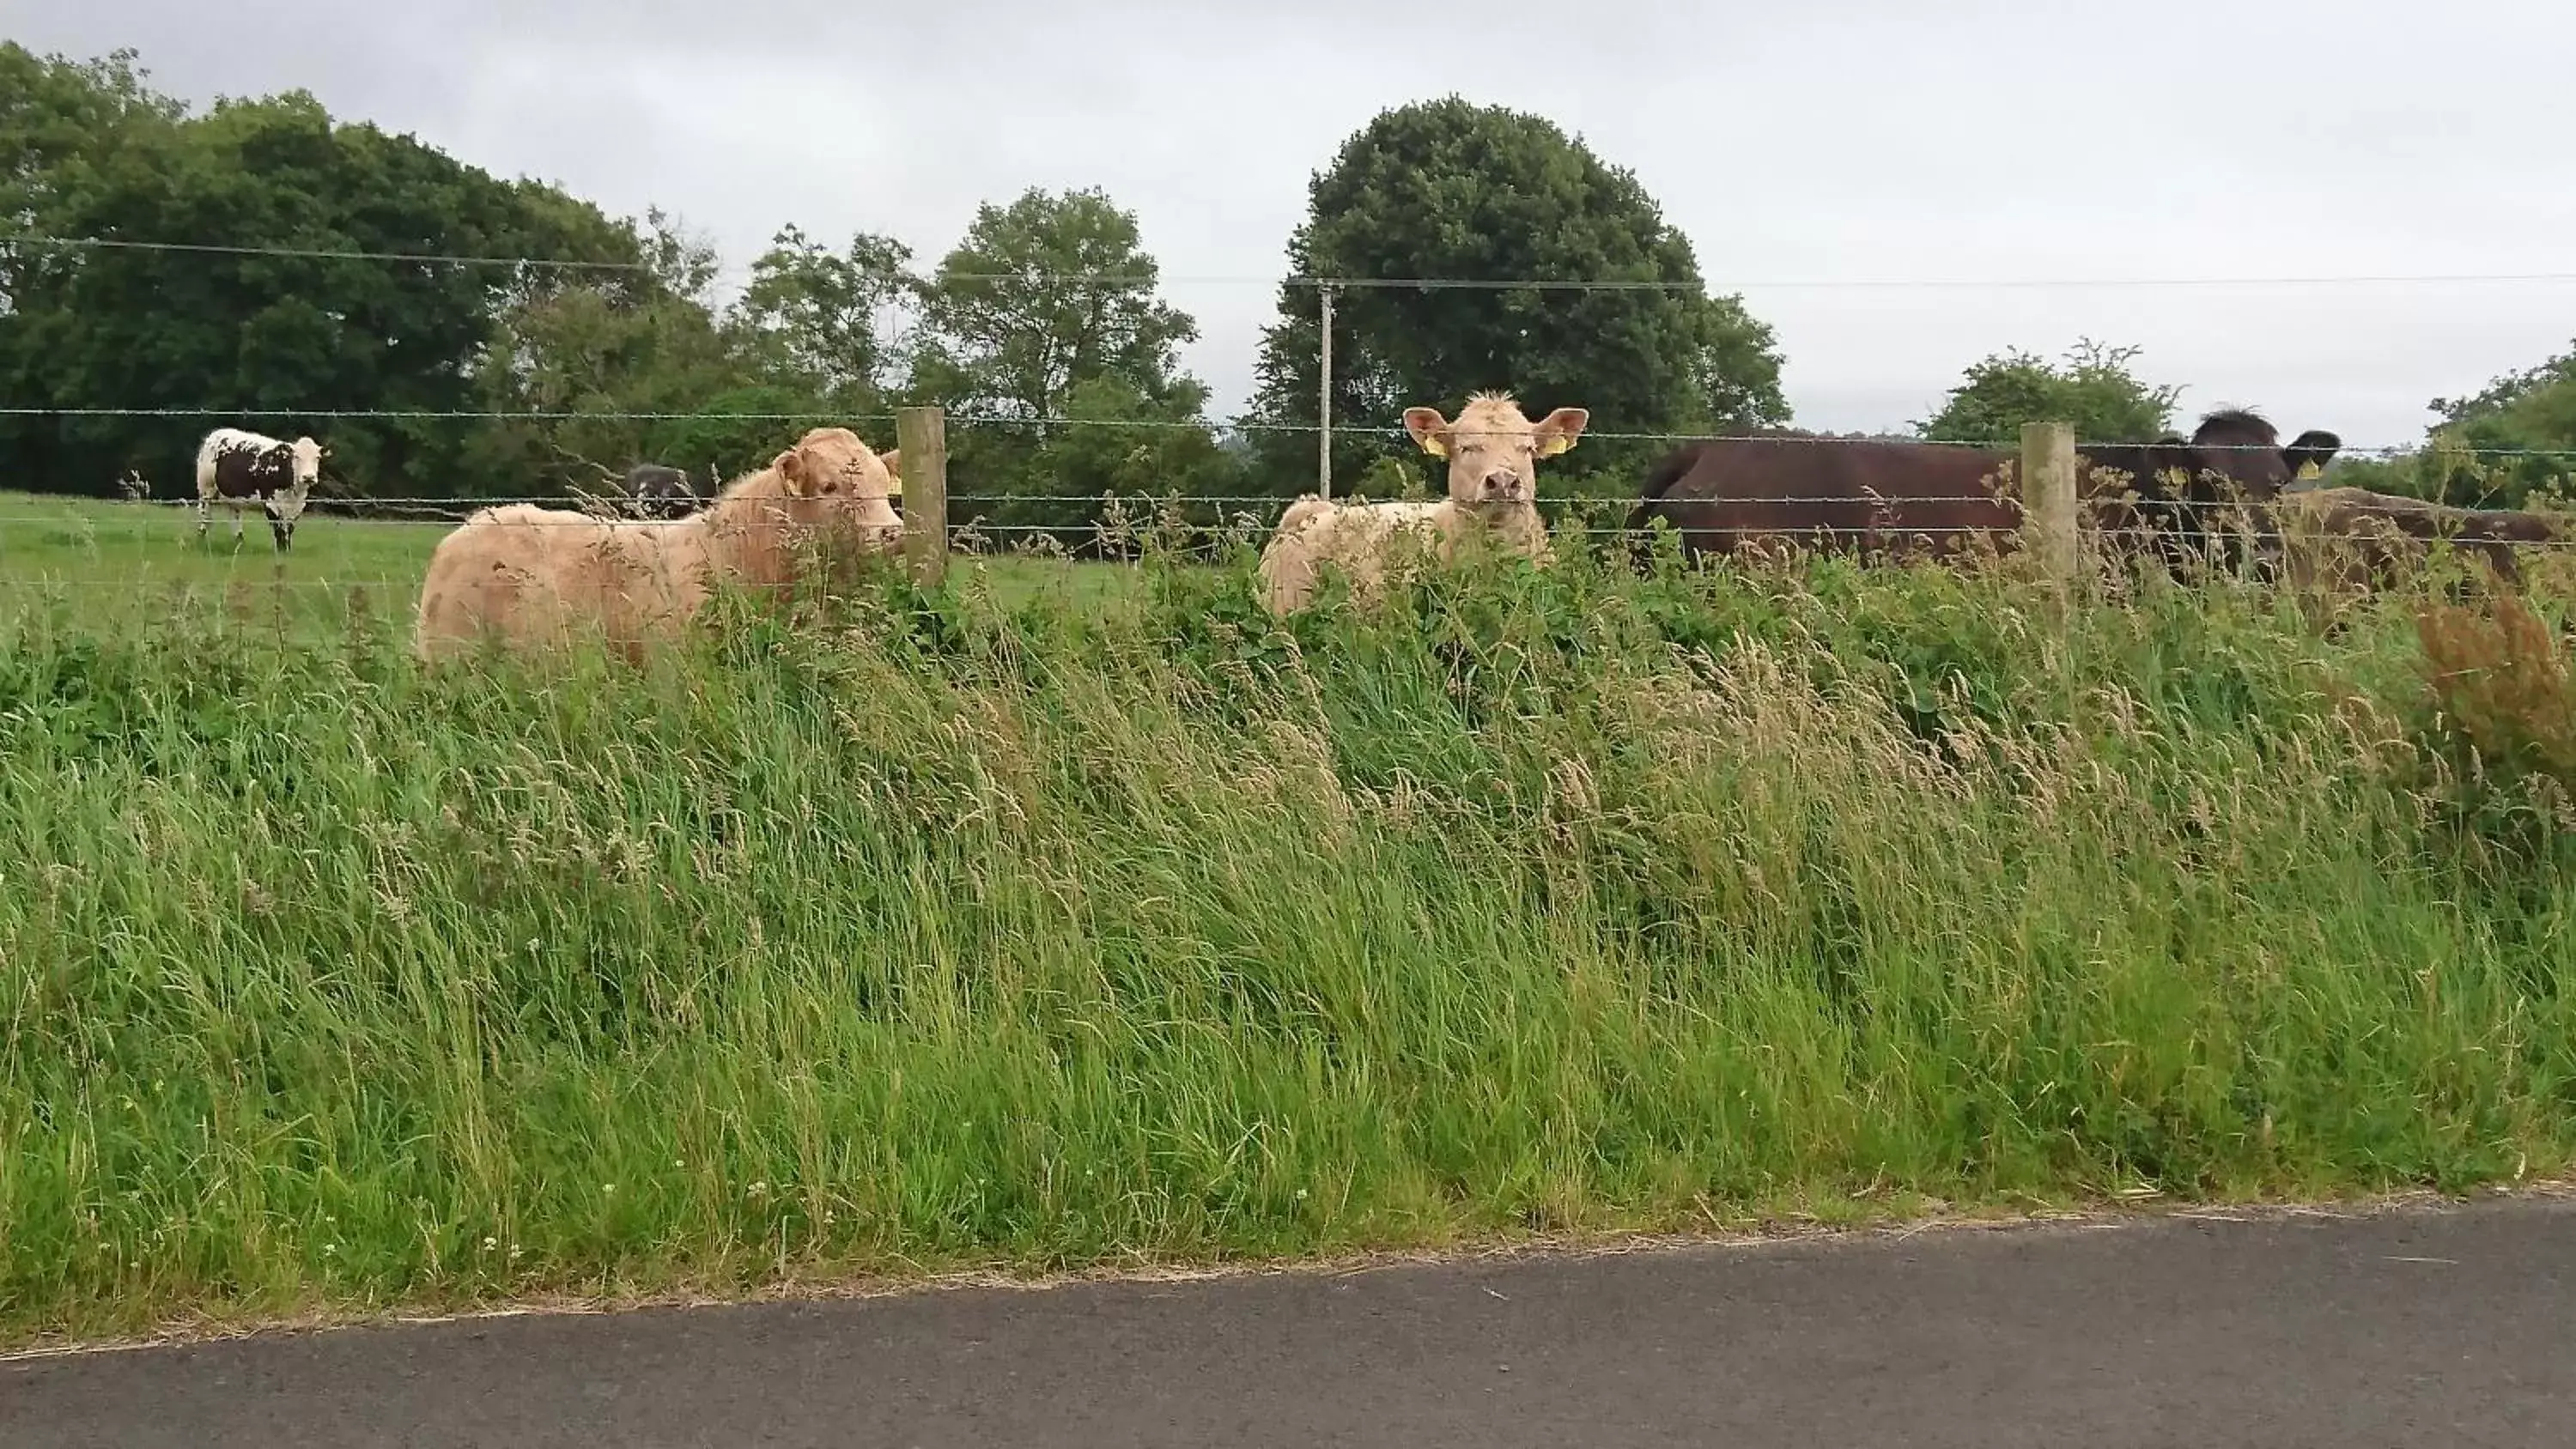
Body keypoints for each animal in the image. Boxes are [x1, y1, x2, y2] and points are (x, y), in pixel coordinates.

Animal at [196, 427, 325, 553]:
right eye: (296, 457)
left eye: (317, 457)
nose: (309, 477)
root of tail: (216, 433)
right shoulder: (270, 502)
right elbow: (277, 527)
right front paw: (281, 551)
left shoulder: (298, 505)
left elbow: (289, 527)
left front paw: (287, 550)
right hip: (206, 488)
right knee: (205, 513)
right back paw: (202, 538)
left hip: (233, 495)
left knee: (234, 516)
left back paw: (239, 541)